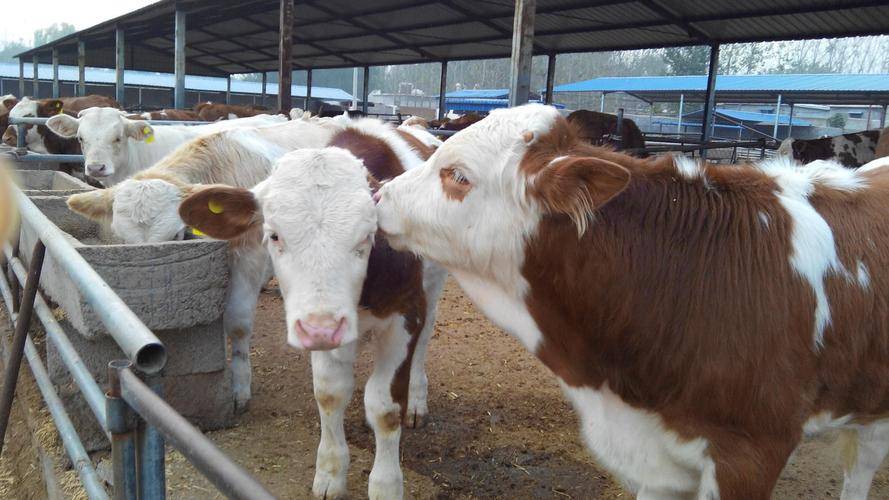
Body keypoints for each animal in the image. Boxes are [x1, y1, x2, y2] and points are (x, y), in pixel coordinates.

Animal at [178, 116, 444, 496]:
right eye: (273, 234)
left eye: (367, 235)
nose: (322, 328)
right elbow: (330, 393)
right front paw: (330, 473)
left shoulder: (406, 312)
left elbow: (385, 407)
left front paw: (386, 485)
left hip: (432, 288)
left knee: (425, 338)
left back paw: (418, 399)